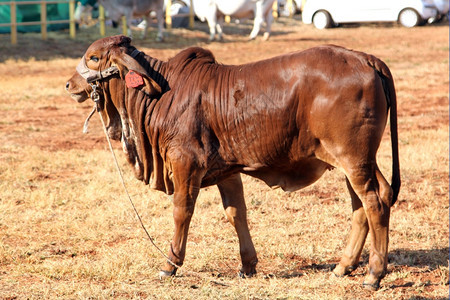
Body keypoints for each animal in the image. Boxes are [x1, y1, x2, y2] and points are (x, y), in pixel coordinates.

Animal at [66, 35, 400, 290]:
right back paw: (344, 266)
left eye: (93, 58)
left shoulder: (186, 163)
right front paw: (248, 265)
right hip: (356, 162)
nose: (69, 84)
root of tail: (367, 59)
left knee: (374, 203)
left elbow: (181, 212)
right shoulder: (227, 171)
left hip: (352, 158)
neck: (162, 95)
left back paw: (374, 274)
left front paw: (170, 264)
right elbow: (236, 213)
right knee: (366, 203)